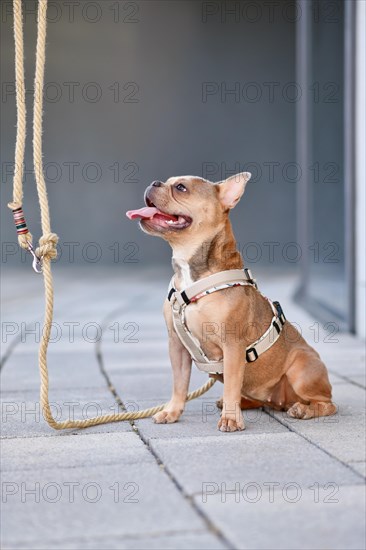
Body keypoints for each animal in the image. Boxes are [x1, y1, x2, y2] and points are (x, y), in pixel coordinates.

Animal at [126, 175, 338, 434]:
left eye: (181, 188)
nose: (154, 182)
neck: (193, 276)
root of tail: (283, 402)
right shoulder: (177, 346)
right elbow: (179, 383)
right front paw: (172, 411)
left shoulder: (233, 346)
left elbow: (230, 386)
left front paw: (230, 419)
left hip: (302, 369)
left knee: (327, 404)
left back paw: (304, 409)